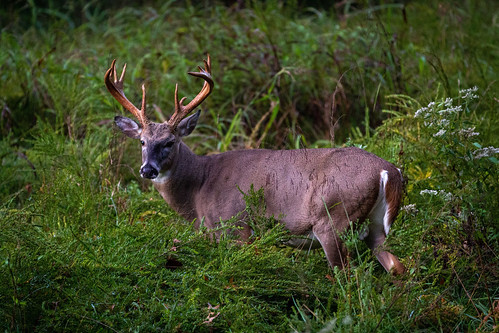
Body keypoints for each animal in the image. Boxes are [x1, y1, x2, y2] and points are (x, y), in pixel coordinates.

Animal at [104, 54, 406, 274]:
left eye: (170, 141)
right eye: (142, 141)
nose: (148, 170)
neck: (199, 187)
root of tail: (388, 171)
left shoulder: (235, 227)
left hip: (334, 219)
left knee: (347, 274)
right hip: (376, 227)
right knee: (396, 267)